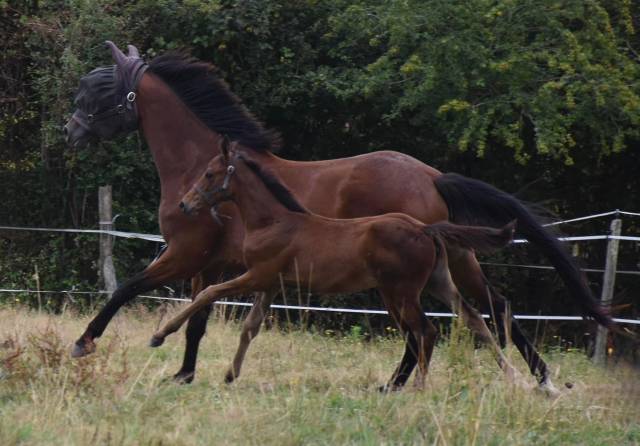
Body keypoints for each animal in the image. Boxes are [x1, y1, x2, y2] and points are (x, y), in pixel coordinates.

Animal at [151, 141, 520, 388]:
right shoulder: (271, 285)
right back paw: (513, 374)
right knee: (471, 317)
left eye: (209, 174)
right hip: (437, 282)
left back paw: (417, 388)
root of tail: (425, 229)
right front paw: (230, 374)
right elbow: (249, 327)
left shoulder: (257, 275)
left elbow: (208, 293)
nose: (185, 204)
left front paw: (159, 336)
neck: (274, 221)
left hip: (402, 292)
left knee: (426, 331)